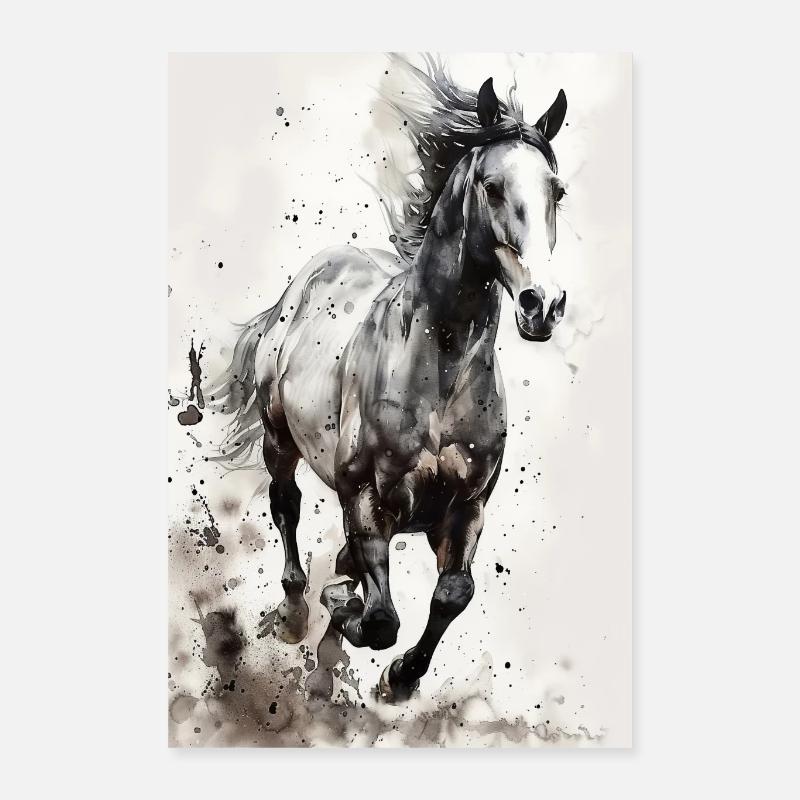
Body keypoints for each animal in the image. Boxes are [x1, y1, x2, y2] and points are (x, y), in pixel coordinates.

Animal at [207, 56, 569, 702]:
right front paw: (341, 606)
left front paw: (400, 679)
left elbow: (453, 594)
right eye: (492, 186)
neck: (440, 378)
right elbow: (378, 620)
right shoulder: (366, 497)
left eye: (558, 191)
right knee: (286, 504)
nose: (543, 304)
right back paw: (299, 608)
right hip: (279, 437)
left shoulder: (467, 507)